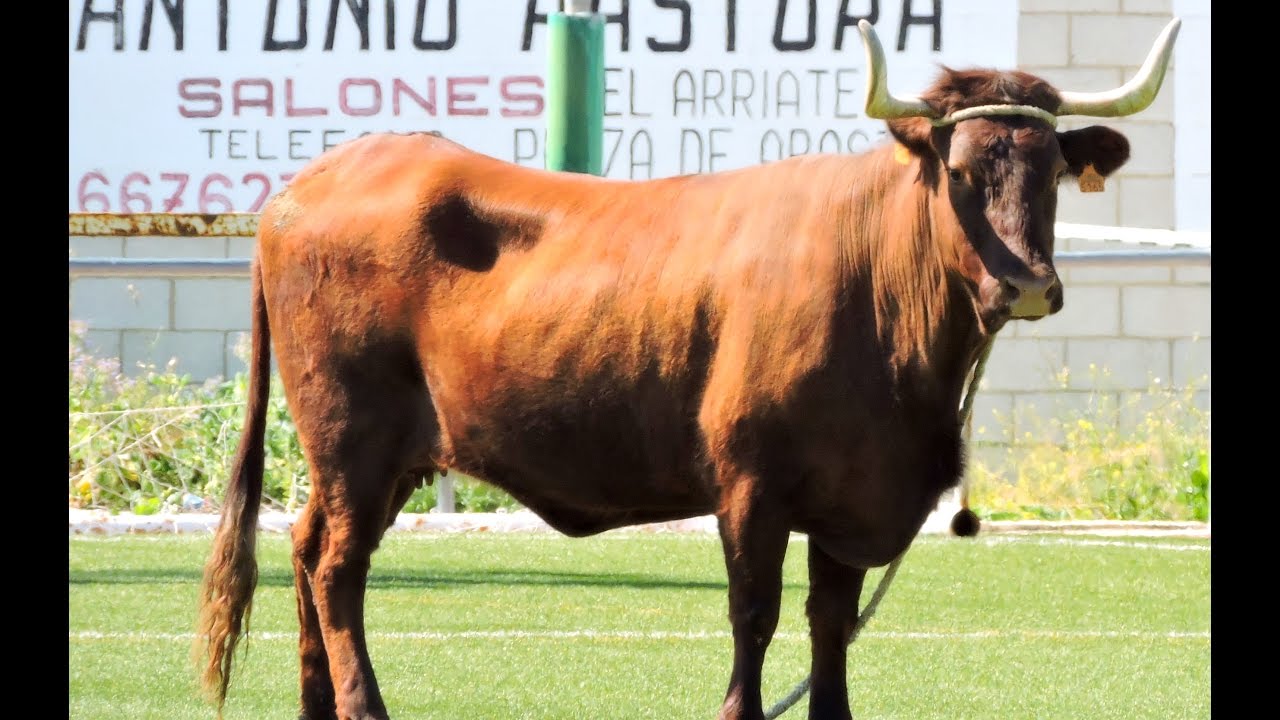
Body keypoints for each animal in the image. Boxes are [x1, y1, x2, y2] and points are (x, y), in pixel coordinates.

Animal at [197, 18, 1179, 720]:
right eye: (965, 171)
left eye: (1052, 172)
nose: (1028, 284)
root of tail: (309, 182)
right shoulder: (750, 483)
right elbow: (756, 614)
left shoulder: (850, 499)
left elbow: (830, 628)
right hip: (350, 436)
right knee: (337, 571)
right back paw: (365, 708)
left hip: (371, 458)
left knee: (305, 548)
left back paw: (316, 705)